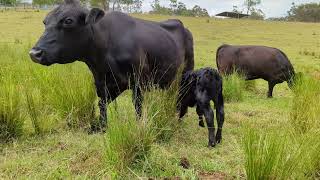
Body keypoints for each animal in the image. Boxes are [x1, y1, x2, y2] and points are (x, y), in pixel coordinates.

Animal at [30, 0, 194, 132]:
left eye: (68, 21)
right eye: (45, 21)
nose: (34, 53)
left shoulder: (138, 82)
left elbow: (138, 105)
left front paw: (139, 127)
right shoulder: (104, 83)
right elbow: (102, 103)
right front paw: (101, 126)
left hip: (186, 72)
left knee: (181, 96)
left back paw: (178, 119)